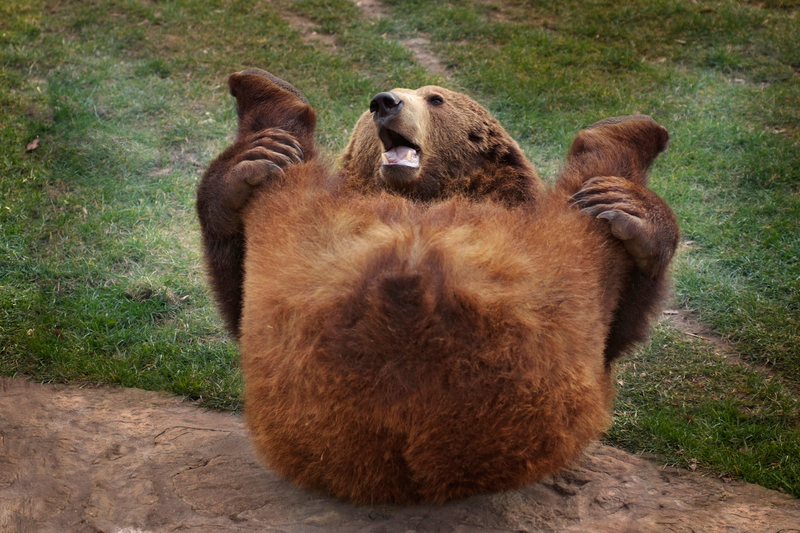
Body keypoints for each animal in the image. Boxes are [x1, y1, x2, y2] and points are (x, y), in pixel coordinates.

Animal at [197, 67, 680, 502]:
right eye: (379, 100)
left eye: (435, 99)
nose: (384, 102)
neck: (423, 195)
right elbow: (236, 299)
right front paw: (239, 173)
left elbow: (619, 333)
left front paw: (635, 212)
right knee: (283, 199)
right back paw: (266, 126)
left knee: (588, 229)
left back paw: (622, 163)